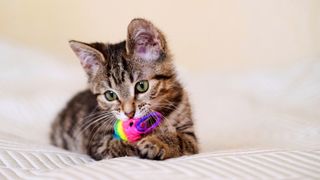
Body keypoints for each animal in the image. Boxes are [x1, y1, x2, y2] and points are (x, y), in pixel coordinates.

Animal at [50, 18, 198, 160]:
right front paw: (145, 141)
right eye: (110, 95)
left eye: (142, 86)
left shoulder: (191, 138)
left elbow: (179, 139)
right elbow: (123, 145)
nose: (129, 113)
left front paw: (156, 142)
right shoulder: (100, 143)